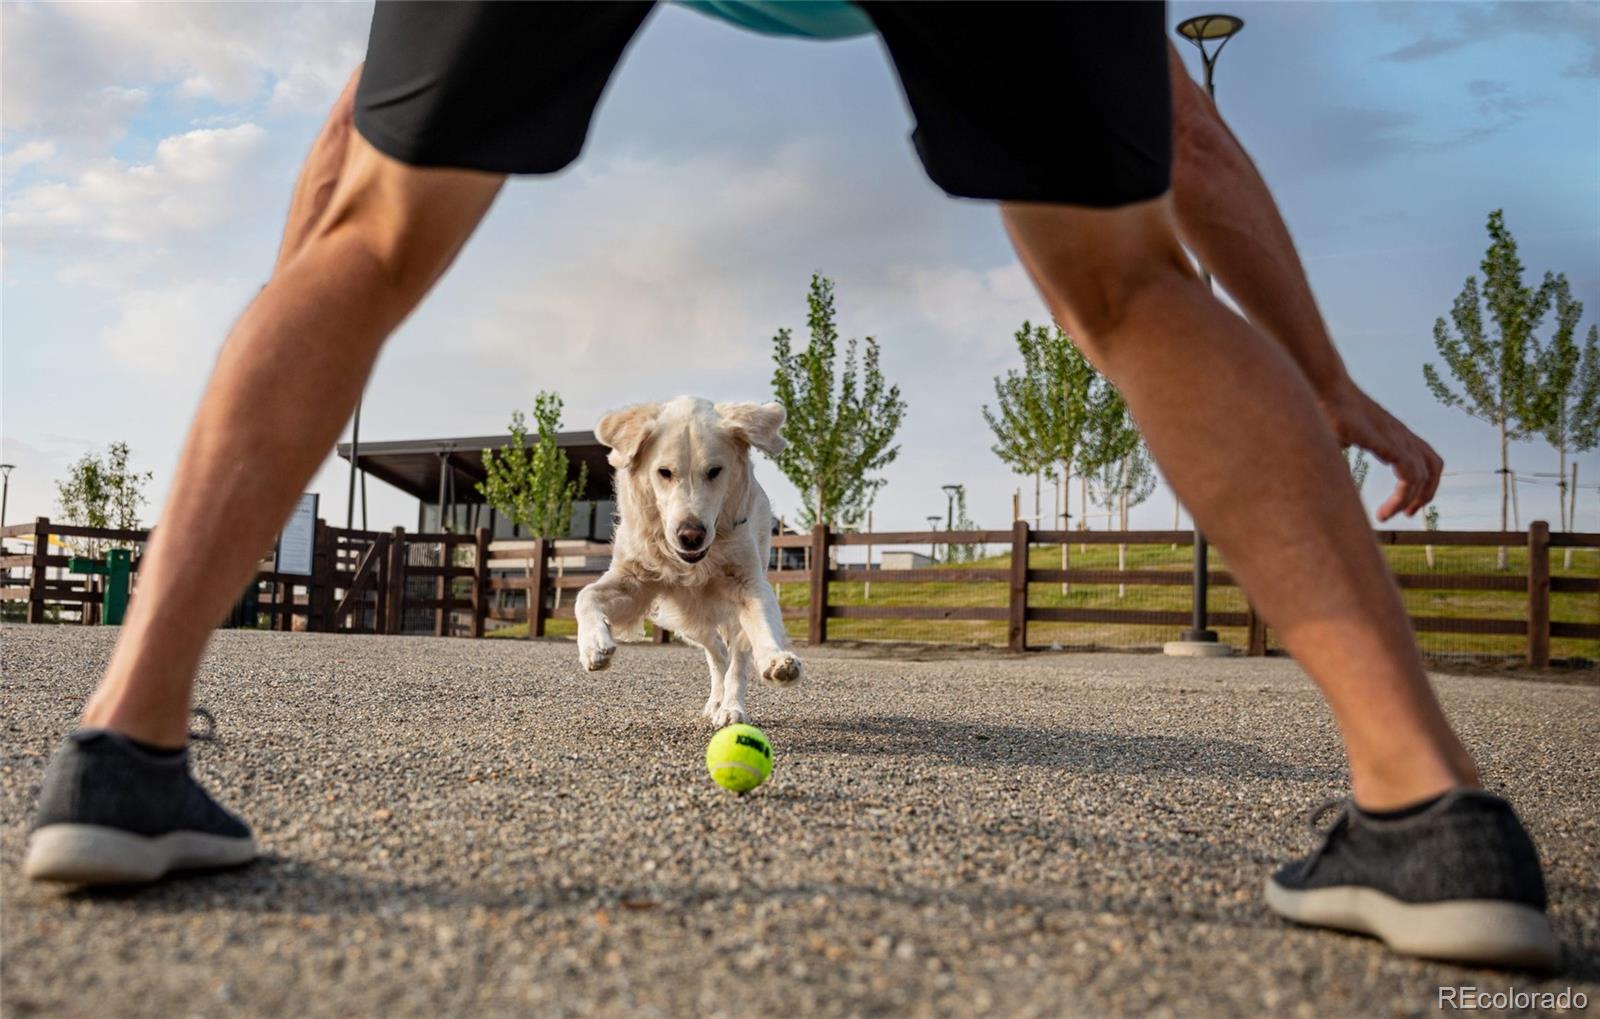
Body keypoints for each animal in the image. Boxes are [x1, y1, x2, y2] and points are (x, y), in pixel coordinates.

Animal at [576, 391, 800, 723]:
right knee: (717, 653)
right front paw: (594, 645)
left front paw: (776, 660)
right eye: (664, 472)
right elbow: (585, 595)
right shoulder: (634, 582)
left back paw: (730, 707)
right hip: (689, 620)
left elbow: (762, 625)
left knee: (735, 657)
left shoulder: (748, 583)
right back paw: (715, 702)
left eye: (715, 471)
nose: (690, 535)